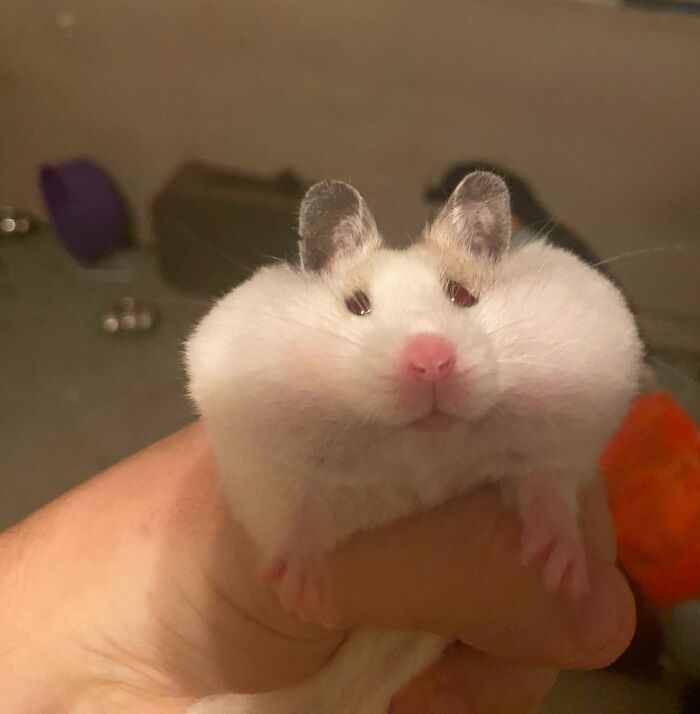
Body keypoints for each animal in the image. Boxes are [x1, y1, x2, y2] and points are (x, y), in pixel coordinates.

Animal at [185, 171, 642, 714]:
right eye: (357, 305)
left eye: (463, 296)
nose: (431, 362)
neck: (426, 453)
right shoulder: (264, 464)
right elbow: (295, 517)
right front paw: (302, 598)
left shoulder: (556, 449)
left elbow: (546, 488)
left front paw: (563, 576)